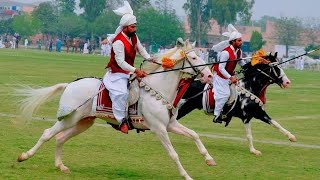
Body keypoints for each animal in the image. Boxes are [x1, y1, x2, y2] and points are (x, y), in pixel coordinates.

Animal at [15, 39, 215, 180]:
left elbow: (194, 135)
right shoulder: (159, 129)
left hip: (83, 122)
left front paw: (209, 159)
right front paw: (187, 175)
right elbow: (173, 154)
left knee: (60, 138)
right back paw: (24, 156)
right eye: (194, 58)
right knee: (48, 133)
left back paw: (60, 165)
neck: (158, 91)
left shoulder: (170, 125)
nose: (209, 76)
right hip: (70, 119)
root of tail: (70, 85)